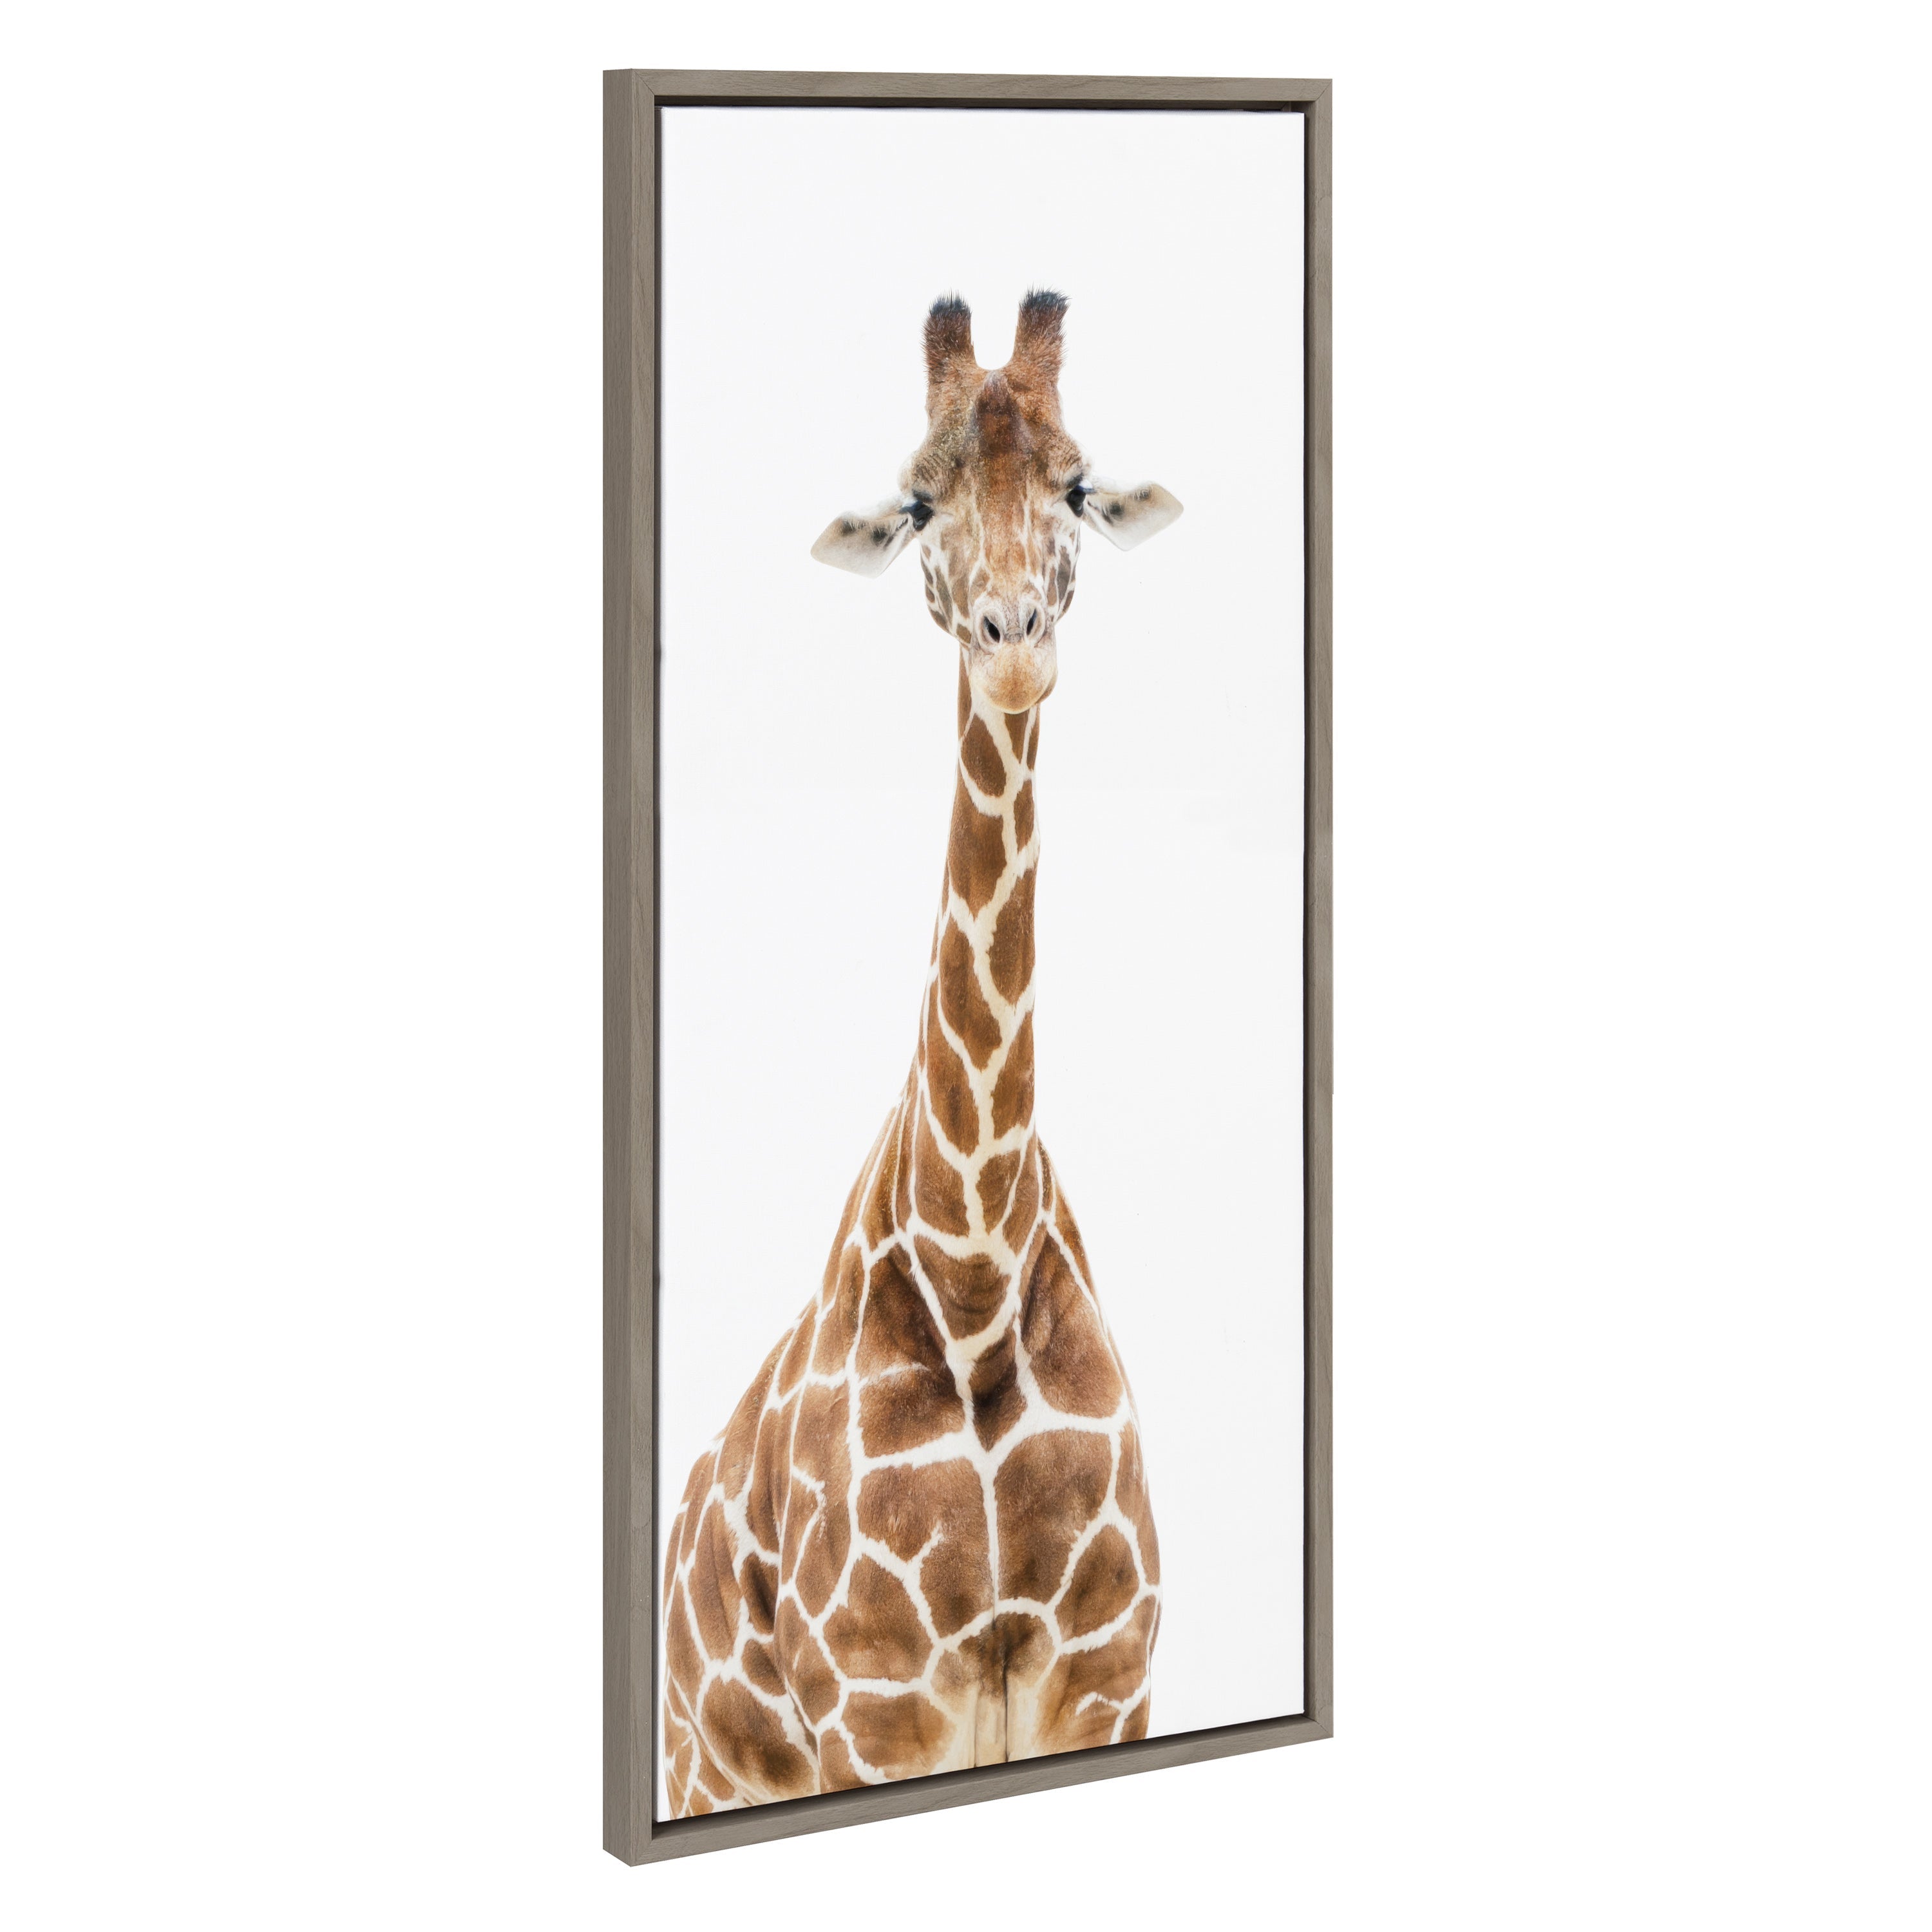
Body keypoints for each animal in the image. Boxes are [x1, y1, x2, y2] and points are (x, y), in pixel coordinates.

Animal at [660, 290, 1184, 1814]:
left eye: (1075, 485)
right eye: (916, 502)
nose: (1012, 637)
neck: (974, 1264)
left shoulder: (1109, 1683)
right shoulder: (873, 1712)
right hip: (713, 1772)